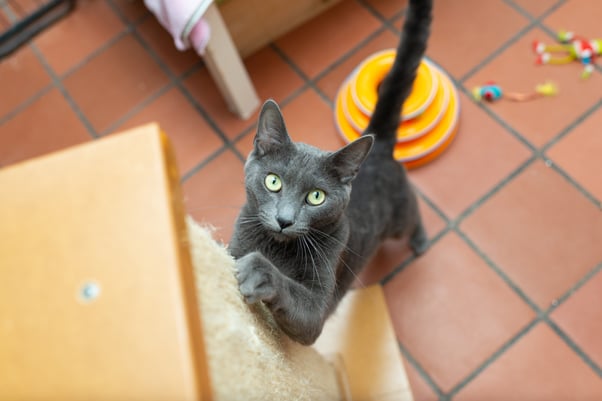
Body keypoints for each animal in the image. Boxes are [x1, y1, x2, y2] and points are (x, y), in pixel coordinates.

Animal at [229, 0, 432, 344]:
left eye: (316, 197)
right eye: (273, 181)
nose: (284, 220)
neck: (276, 247)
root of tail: (377, 145)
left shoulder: (318, 306)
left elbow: (297, 299)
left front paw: (258, 271)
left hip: (398, 218)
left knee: (412, 211)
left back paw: (420, 240)